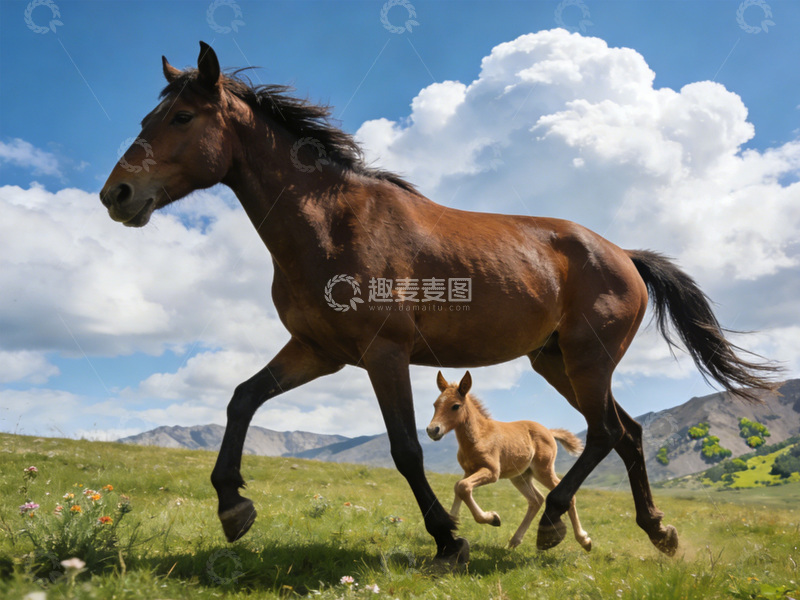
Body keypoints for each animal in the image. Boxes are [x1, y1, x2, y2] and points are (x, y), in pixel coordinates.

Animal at [427, 371, 592, 551]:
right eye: (435, 404)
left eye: (455, 406)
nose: (432, 430)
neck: (480, 435)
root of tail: (549, 431)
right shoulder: (469, 470)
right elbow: (458, 488)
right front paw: (452, 528)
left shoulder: (492, 472)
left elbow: (463, 487)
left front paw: (492, 518)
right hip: (521, 476)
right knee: (536, 499)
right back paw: (515, 540)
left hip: (543, 471)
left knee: (566, 495)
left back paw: (584, 540)